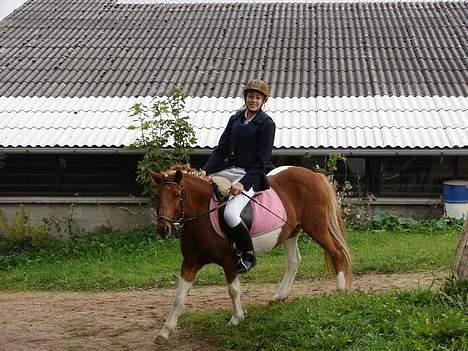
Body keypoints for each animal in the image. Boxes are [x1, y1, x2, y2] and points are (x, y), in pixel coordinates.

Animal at [150, 165, 352, 344]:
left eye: (177, 195)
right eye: (156, 196)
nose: (162, 229)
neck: (203, 214)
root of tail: (314, 175)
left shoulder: (229, 261)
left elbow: (233, 290)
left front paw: (236, 319)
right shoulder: (190, 263)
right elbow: (179, 297)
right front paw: (165, 332)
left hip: (316, 227)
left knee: (337, 253)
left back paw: (341, 290)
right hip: (291, 232)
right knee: (294, 261)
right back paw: (279, 296)